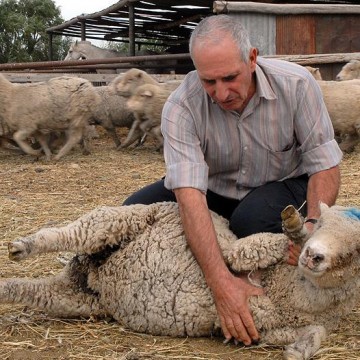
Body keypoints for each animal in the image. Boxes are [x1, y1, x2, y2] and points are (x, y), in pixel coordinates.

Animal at [1, 202, 358, 360]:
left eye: (355, 251)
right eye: (318, 223)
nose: (313, 256)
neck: (287, 291)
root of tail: (92, 271)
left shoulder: (268, 328)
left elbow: (315, 333)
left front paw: (298, 350)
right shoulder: (240, 255)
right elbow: (244, 251)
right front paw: (289, 232)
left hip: (76, 298)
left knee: (29, 290)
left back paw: (5, 287)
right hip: (116, 220)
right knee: (65, 234)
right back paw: (23, 246)